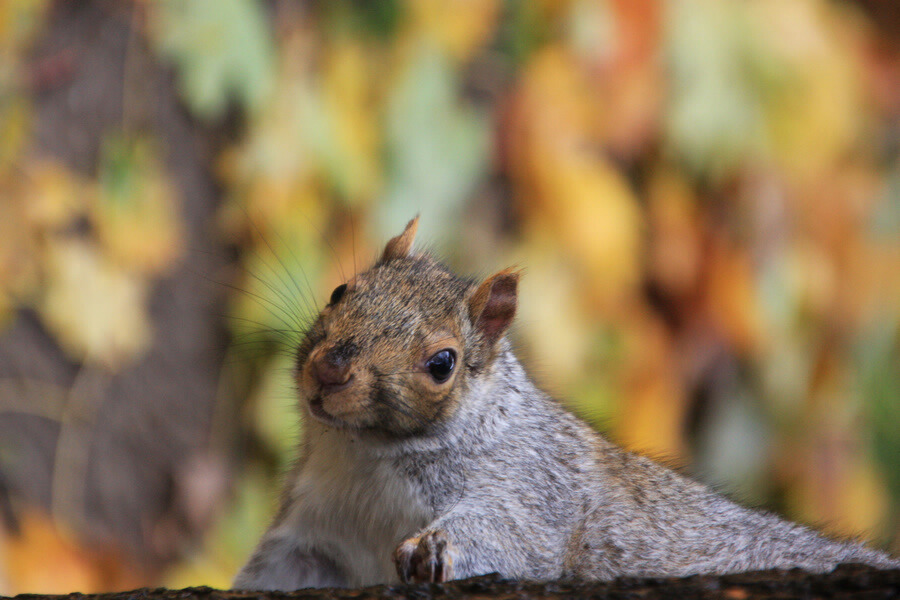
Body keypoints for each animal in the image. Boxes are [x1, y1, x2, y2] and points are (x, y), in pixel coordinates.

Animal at [234, 217, 900, 592]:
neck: (363, 457)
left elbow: (517, 534)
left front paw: (433, 549)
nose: (329, 369)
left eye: (442, 363)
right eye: (340, 291)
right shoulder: (315, 537)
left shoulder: (533, 485)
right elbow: (273, 575)